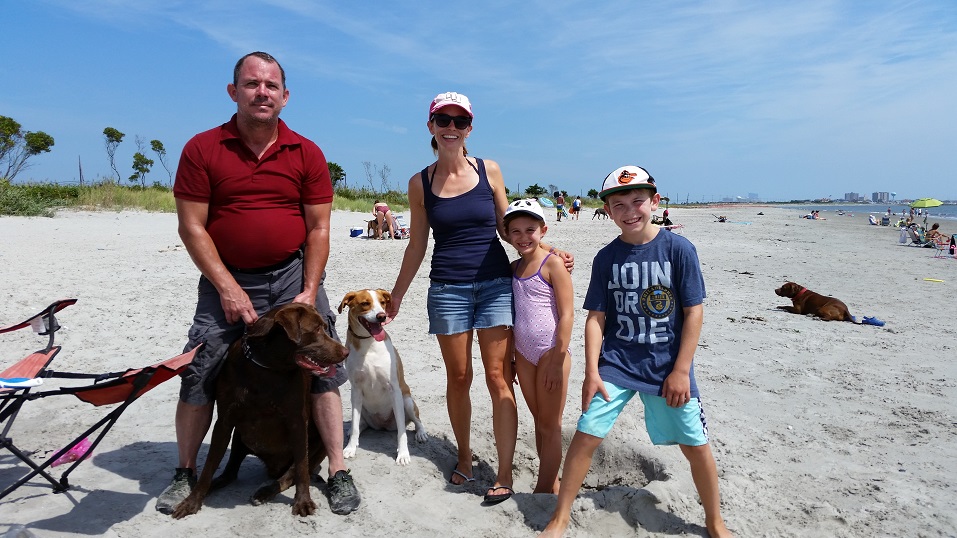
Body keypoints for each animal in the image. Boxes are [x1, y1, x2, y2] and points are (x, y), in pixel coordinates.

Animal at [174, 302, 350, 516]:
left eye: (325, 327)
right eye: (316, 329)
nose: (346, 352)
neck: (267, 368)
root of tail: (273, 468)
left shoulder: (297, 421)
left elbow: (301, 469)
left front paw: (303, 501)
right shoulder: (224, 422)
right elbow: (209, 465)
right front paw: (192, 500)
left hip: (320, 443)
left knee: (289, 475)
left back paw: (264, 492)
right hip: (239, 436)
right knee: (230, 472)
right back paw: (215, 485)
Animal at [336, 286, 426, 462]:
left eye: (383, 302)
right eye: (365, 303)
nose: (382, 316)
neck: (369, 343)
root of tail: (383, 425)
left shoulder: (394, 389)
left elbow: (402, 432)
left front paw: (403, 454)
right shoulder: (356, 389)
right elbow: (355, 426)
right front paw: (350, 448)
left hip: (407, 401)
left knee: (416, 420)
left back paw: (421, 433)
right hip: (361, 405)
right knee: (359, 424)